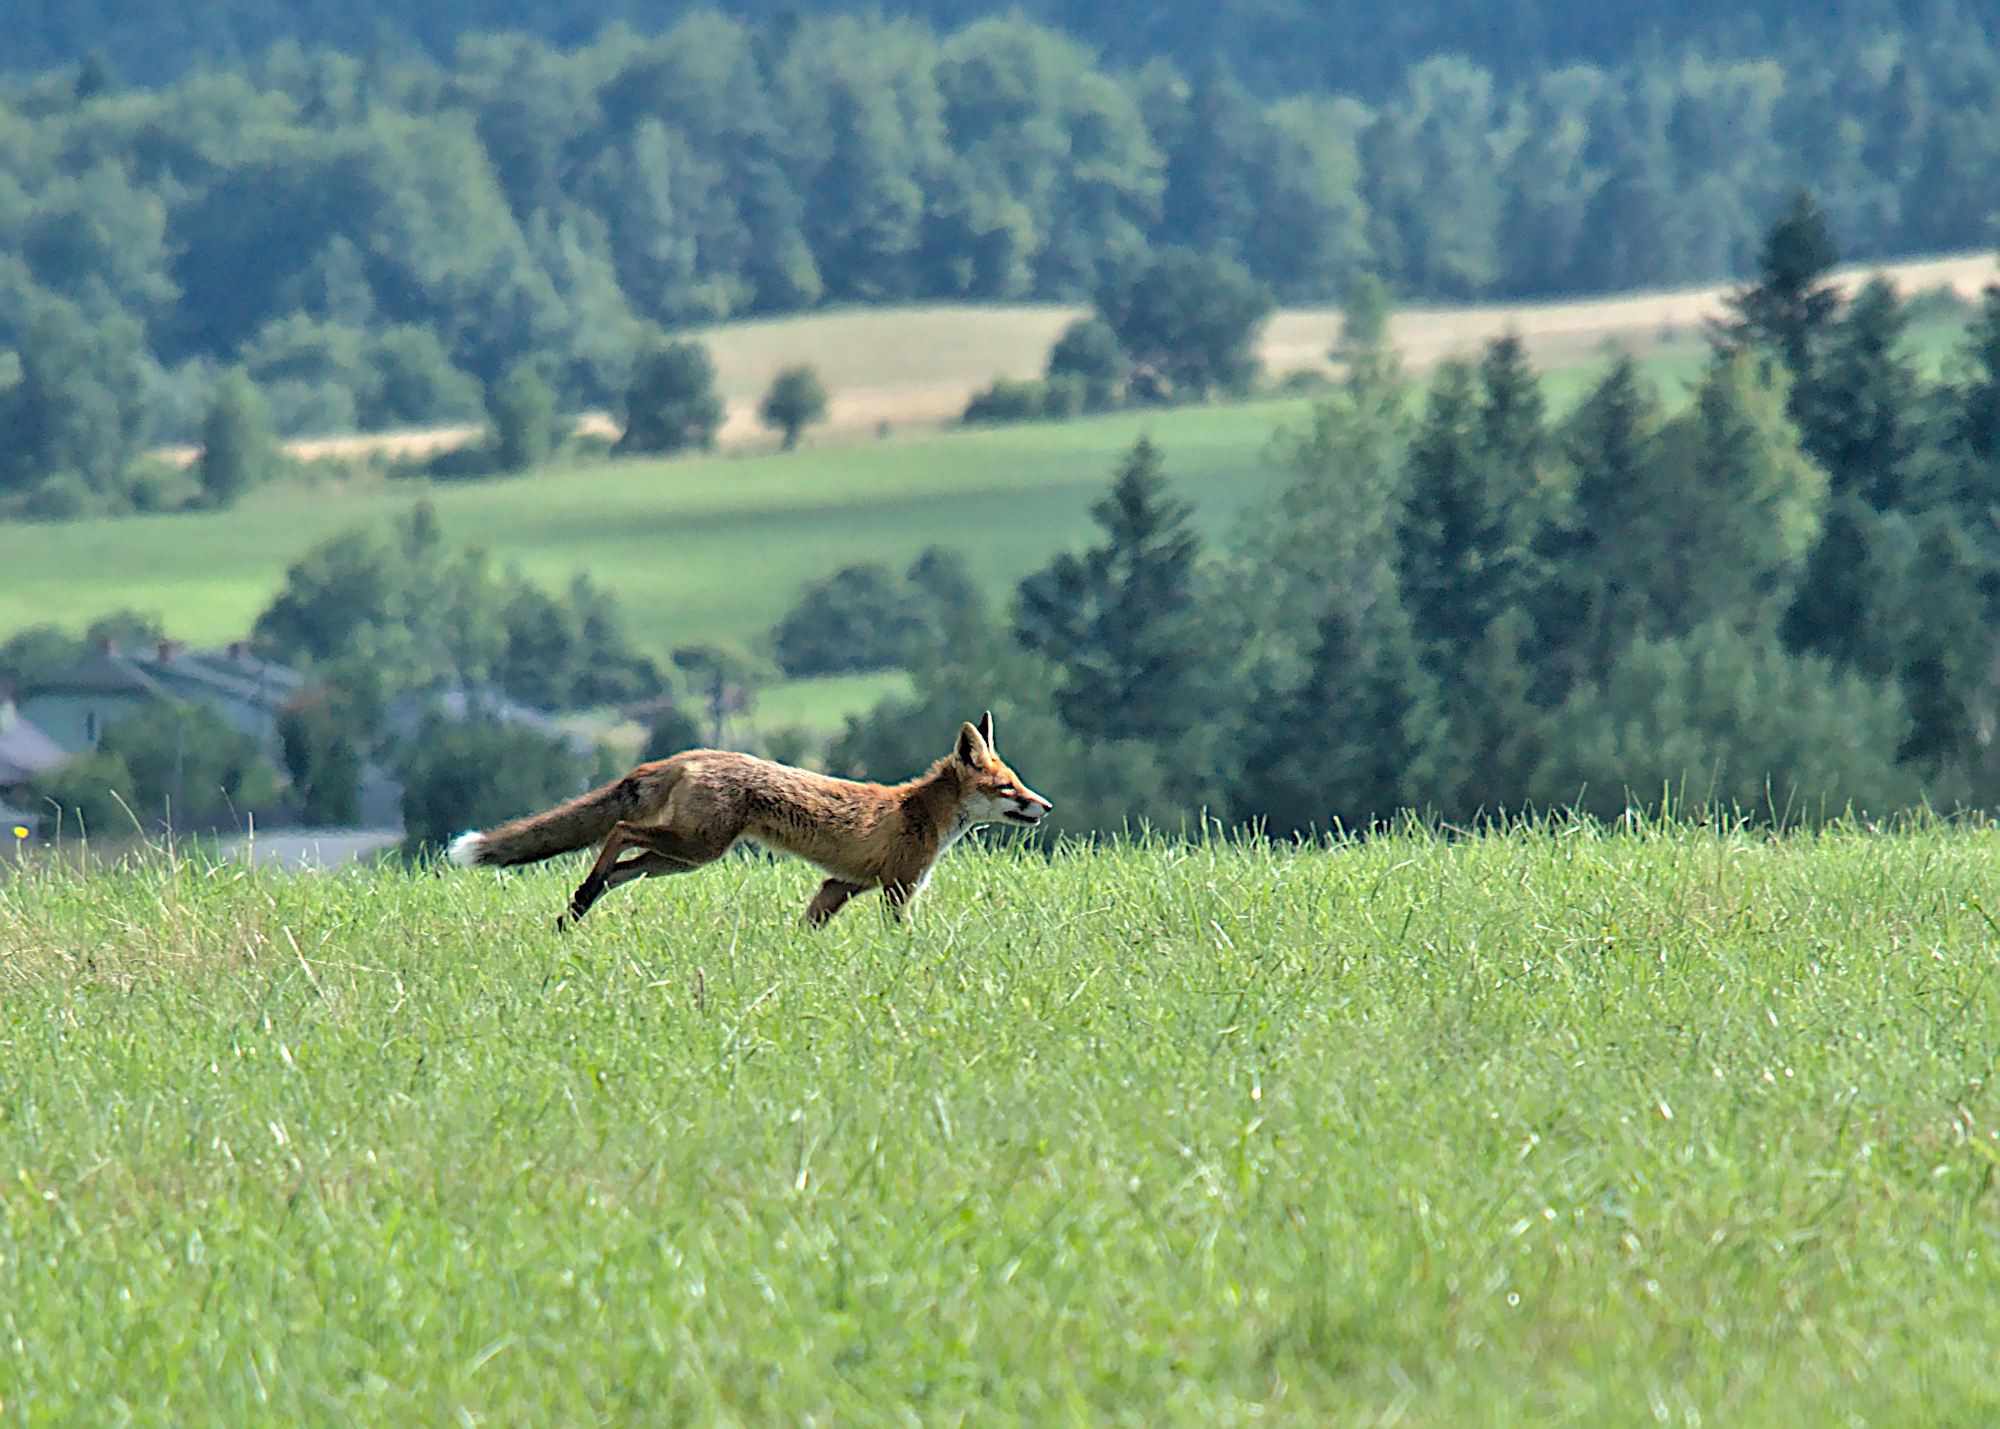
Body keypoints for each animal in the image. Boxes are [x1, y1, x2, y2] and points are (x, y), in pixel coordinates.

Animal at [448, 708, 1056, 928]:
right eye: (1008, 788)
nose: (1046, 806)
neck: (920, 813)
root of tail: (690, 754)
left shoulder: (840, 886)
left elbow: (809, 926)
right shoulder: (898, 888)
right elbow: (901, 935)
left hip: (677, 859)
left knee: (621, 866)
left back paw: (579, 906)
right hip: (696, 846)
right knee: (619, 831)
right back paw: (582, 896)